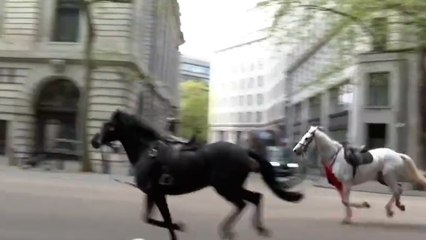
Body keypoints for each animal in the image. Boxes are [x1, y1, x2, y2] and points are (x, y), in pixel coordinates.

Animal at [90, 110, 302, 238]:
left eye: (109, 126)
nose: (94, 141)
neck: (147, 152)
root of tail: (242, 150)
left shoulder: (157, 193)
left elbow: (166, 221)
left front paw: (179, 226)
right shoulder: (153, 193)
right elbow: (151, 219)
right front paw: (178, 227)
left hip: (226, 187)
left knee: (245, 202)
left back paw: (235, 229)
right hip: (231, 187)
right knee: (253, 199)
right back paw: (247, 229)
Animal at [292, 126, 426, 224]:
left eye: (307, 138)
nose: (295, 150)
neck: (335, 157)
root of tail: (397, 154)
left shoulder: (347, 183)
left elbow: (346, 201)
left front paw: (363, 206)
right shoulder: (339, 185)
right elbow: (344, 201)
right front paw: (348, 218)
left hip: (390, 177)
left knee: (398, 190)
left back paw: (392, 209)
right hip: (384, 178)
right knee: (398, 190)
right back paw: (396, 207)